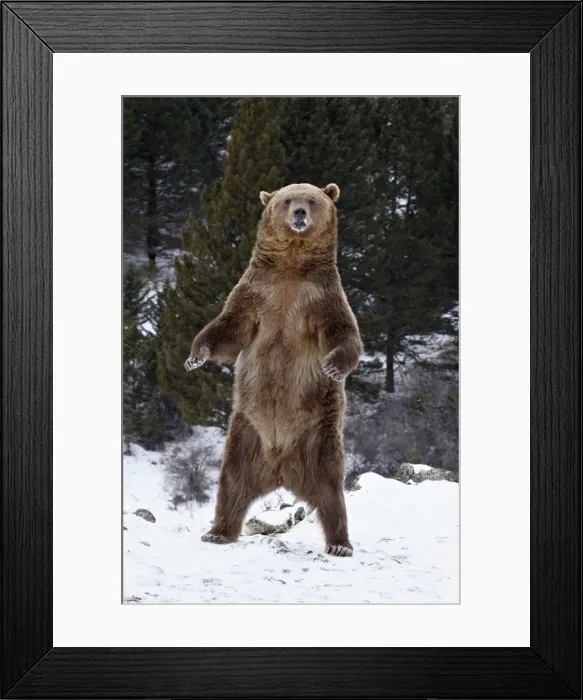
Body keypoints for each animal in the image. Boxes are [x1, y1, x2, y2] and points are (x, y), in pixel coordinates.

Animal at [184, 182, 363, 557]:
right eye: (286, 200)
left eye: (311, 199)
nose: (299, 213)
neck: (291, 268)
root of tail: (281, 469)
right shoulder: (256, 294)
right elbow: (229, 328)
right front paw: (195, 356)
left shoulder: (320, 299)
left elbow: (342, 332)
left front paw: (333, 366)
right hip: (246, 433)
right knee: (232, 482)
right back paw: (218, 531)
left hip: (319, 436)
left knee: (331, 492)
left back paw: (340, 543)